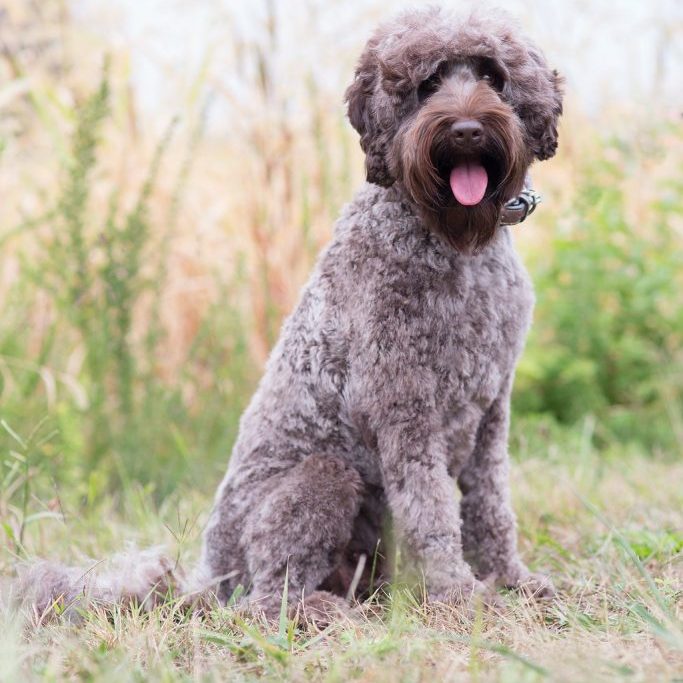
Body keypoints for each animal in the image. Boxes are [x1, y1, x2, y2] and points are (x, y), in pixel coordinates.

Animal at [17, 5, 560, 624]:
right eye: (426, 85)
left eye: (493, 76)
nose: (467, 130)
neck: (451, 242)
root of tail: (207, 580)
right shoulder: (405, 410)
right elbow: (432, 511)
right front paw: (458, 595)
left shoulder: (491, 409)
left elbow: (491, 505)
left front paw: (511, 580)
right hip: (326, 476)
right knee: (266, 598)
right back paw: (325, 611)